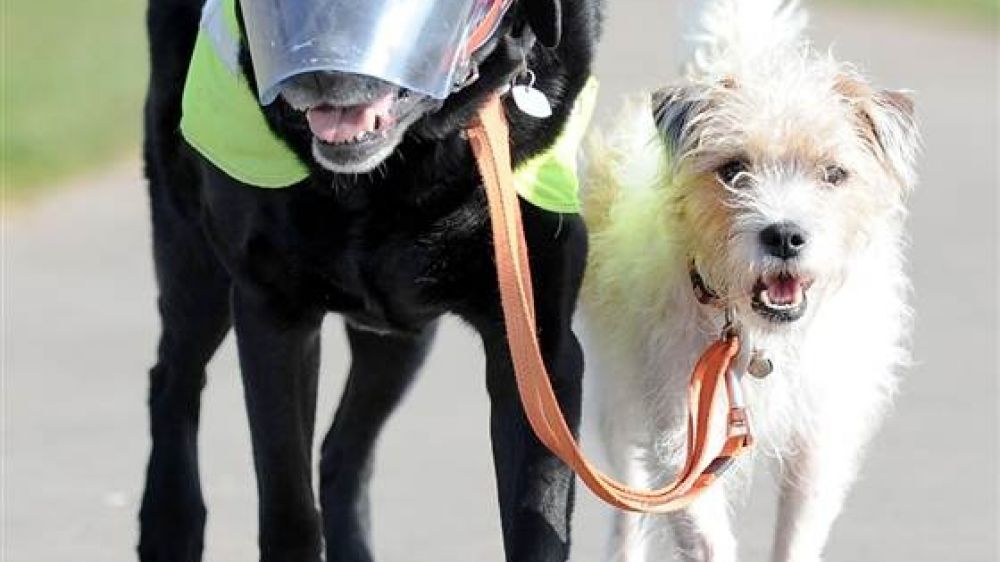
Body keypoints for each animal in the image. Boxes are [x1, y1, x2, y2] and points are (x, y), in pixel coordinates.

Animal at [138, 1, 596, 560]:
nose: (318, 70)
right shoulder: (273, 312)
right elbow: (288, 504)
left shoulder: (538, 348)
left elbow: (538, 512)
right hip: (194, 261)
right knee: (174, 379)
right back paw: (169, 525)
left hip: (401, 338)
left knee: (341, 450)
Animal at [584, 2, 916, 556]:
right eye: (733, 169)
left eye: (833, 174)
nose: (783, 235)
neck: (759, 338)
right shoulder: (681, 433)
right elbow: (704, 533)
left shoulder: (818, 439)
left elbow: (799, 534)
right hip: (620, 397)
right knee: (628, 506)